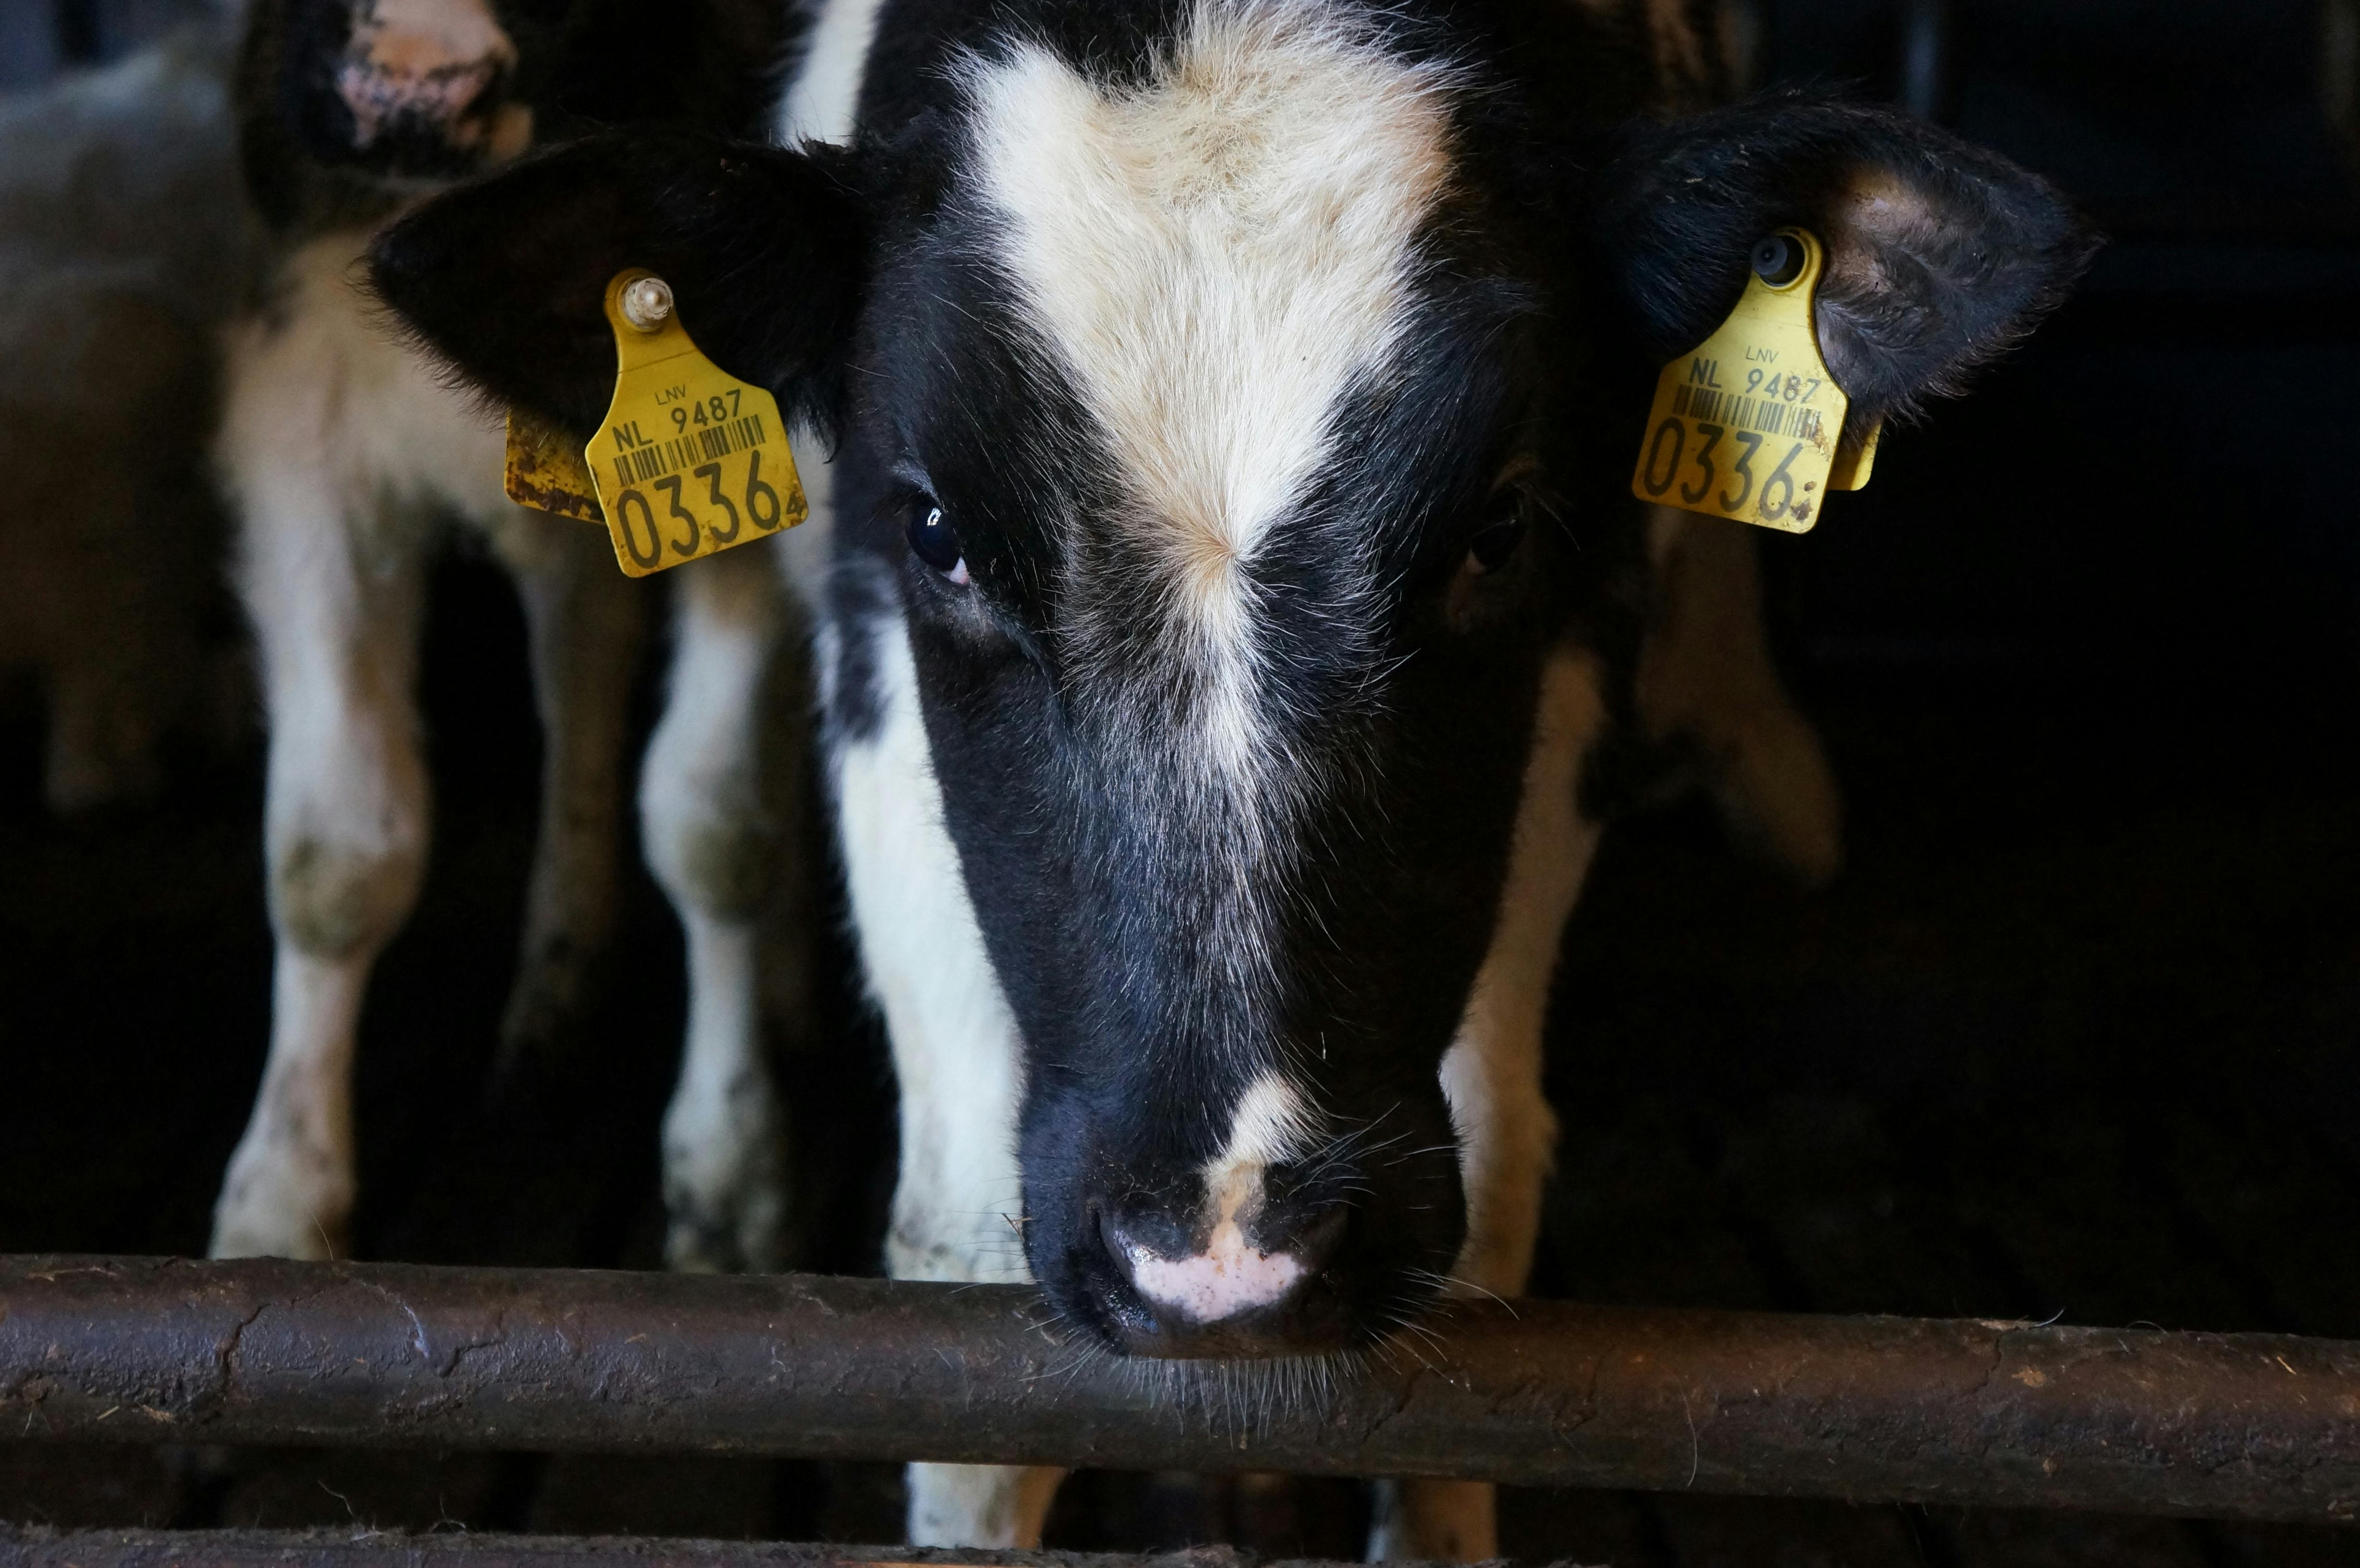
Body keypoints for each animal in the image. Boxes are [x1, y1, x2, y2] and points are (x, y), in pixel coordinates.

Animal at [207, 0, 818, 1275]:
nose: (413, 89)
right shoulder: (304, 429)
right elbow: (333, 852)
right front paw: (279, 1203)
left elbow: (714, 824)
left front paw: (731, 1174)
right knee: (579, 660)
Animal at [368, 0, 2093, 1555]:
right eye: (939, 531)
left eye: (1499, 527)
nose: (1223, 1253)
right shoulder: (870, 639)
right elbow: (958, 1279)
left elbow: (1493, 1223)